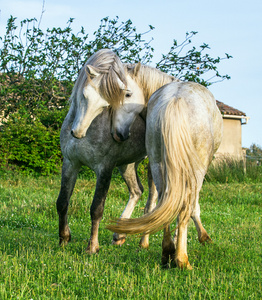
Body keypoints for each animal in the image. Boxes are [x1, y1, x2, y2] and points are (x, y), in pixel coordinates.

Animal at [105, 63, 222, 270]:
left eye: (126, 94)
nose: (117, 133)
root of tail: (176, 101)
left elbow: (152, 205)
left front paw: (144, 242)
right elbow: (193, 207)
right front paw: (204, 237)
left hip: (158, 163)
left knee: (165, 202)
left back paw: (167, 252)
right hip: (195, 170)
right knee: (184, 208)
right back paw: (181, 259)